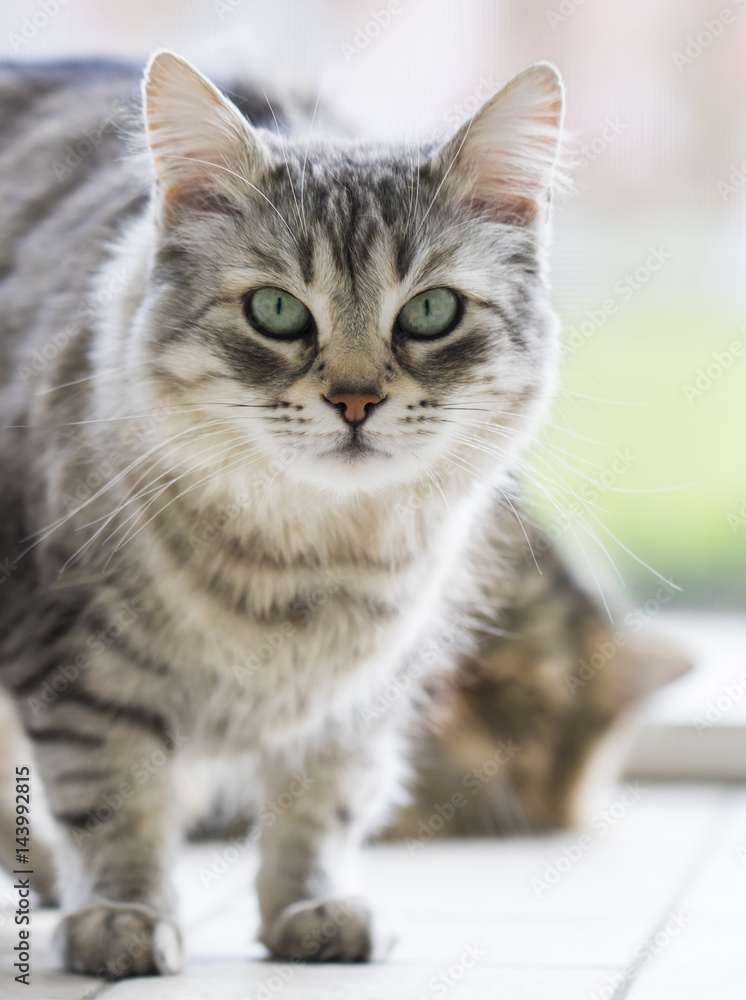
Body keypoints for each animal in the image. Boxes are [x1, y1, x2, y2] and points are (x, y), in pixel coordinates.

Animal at [0, 52, 652, 976]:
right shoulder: (81, 663)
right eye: (276, 312)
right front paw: (122, 918)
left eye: (429, 312)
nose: (354, 401)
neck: (307, 561)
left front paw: (311, 909)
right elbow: (116, 805)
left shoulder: (360, 691)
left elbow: (321, 808)